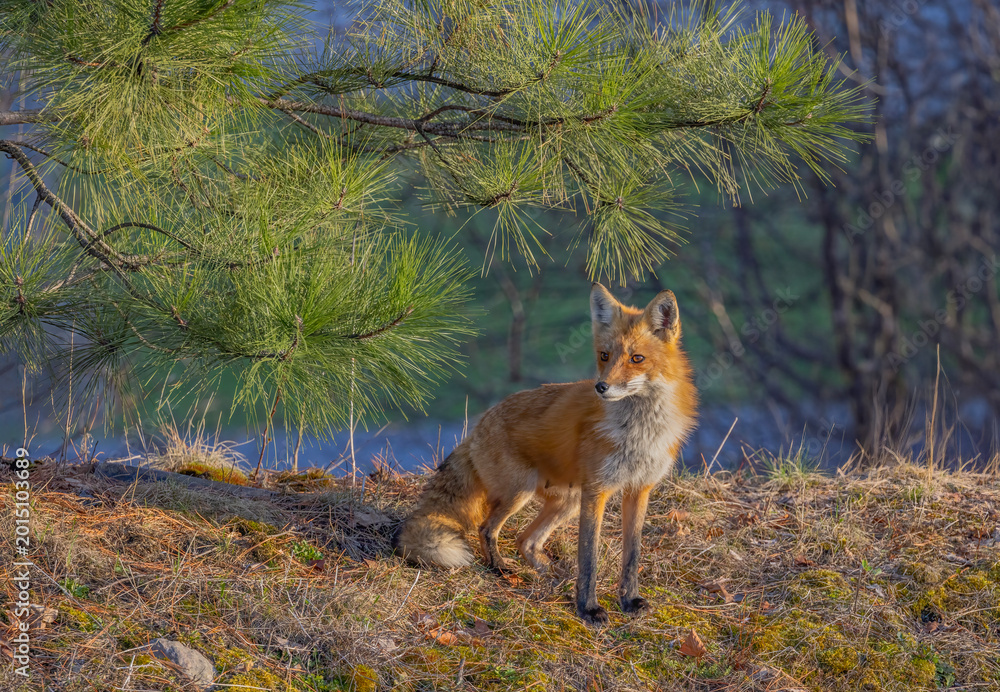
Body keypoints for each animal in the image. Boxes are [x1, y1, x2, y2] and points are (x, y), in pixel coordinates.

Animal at [393, 282, 697, 624]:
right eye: (604, 355)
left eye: (637, 358)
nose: (601, 387)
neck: (639, 432)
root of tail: (476, 431)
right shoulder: (597, 491)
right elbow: (589, 558)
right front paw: (587, 608)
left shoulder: (639, 488)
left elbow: (632, 555)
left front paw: (628, 600)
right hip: (522, 492)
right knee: (488, 528)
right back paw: (500, 569)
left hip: (567, 502)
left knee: (525, 541)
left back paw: (549, 577)